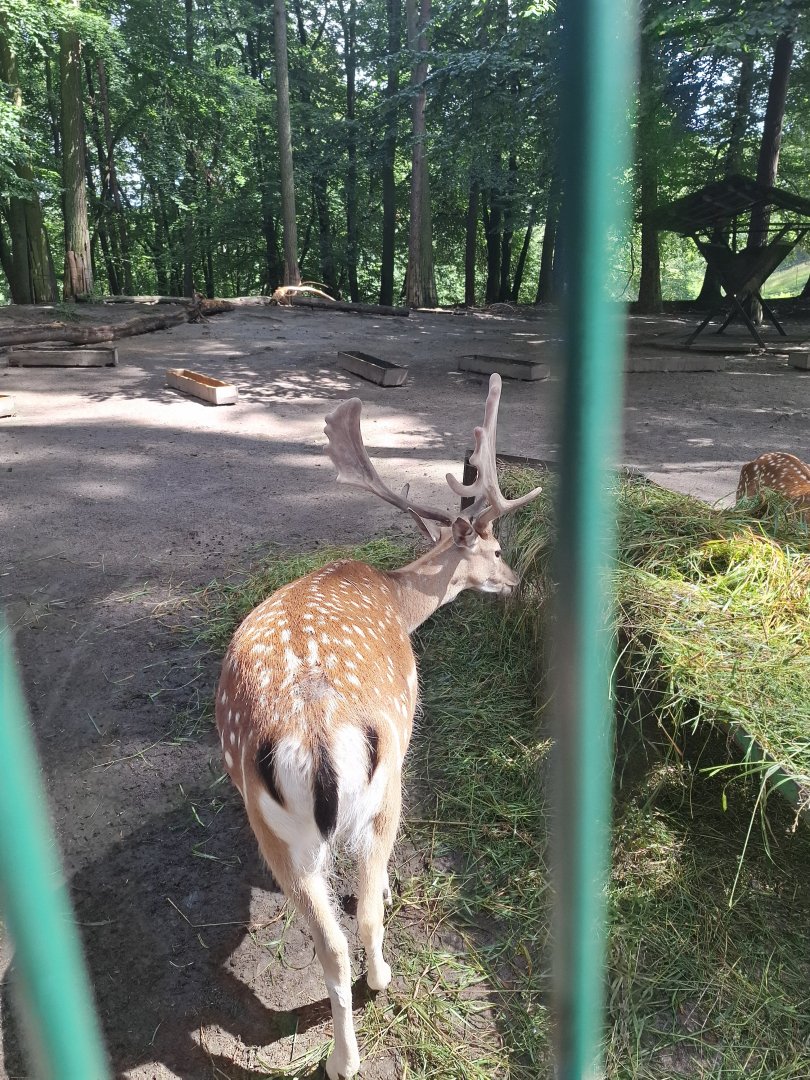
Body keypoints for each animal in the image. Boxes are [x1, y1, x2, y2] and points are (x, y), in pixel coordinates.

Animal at [214, 374, 542, 1079]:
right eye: (497, 549)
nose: (516, 578)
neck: (397, 598)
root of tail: (311, 735)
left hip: (274, 830)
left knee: (328, 943)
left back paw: (341, 1059)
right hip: (385, 782)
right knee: (362, 918)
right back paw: (382, 979)